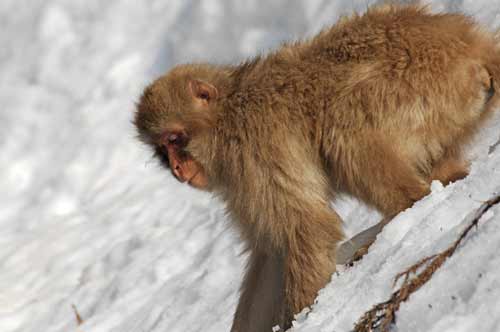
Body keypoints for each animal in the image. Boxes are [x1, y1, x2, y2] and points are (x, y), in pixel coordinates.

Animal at [134, 5, 500, 332]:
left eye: (174, 139)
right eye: (162, 151)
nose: (176, 168)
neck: (226, 116)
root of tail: (471, 44)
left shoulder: (254, 151)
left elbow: (306, 229)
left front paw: (305, 317)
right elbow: (271, 253)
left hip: (417, 86)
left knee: (343, 129)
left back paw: (408, 207)